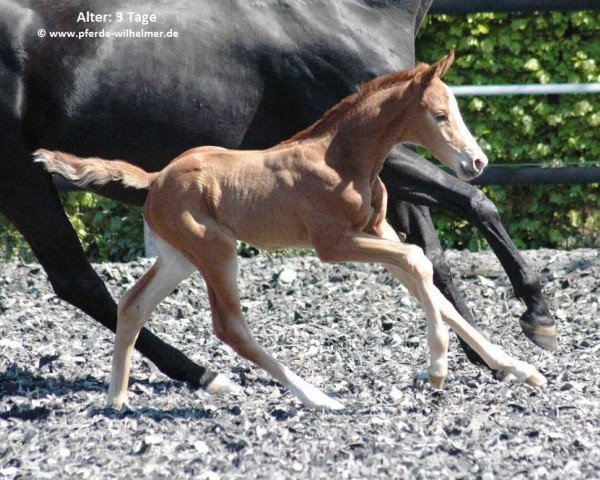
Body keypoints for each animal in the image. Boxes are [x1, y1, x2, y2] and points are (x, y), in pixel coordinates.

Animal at [0, 0, 556, 390]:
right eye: (440, 114)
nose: (478, 161)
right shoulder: (362, 190)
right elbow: (463, 216)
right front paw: (534, 318)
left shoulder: (382, 195)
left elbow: (431, 262)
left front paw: (497, 360)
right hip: (27, 180)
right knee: (83, 282)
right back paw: (218, 378)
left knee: (108, 294)